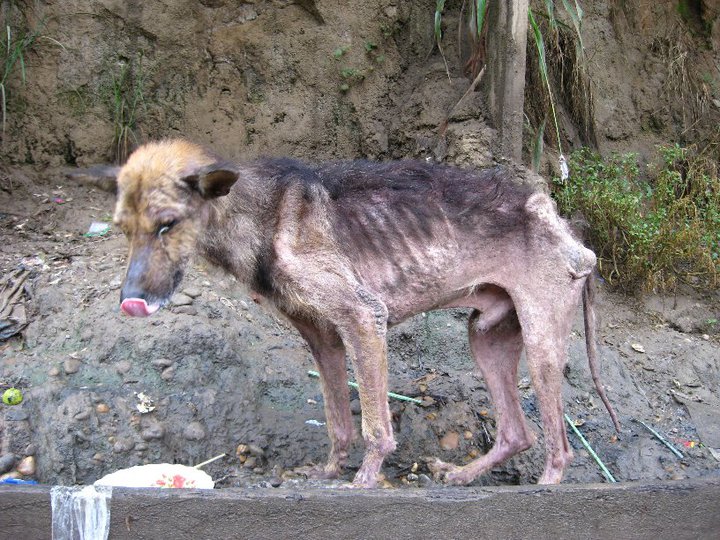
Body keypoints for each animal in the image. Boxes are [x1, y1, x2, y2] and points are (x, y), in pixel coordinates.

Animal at [111, 140, 620, 490]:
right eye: (123, 229)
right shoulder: (323, 338)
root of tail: (566, 226)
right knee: (518, 434)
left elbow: (375, 427)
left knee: (560, 449)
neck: (260, 213)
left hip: (541, 347)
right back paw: (461, 475)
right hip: (487, 340)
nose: (129, 299)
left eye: (168, 225)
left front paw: (365, 480)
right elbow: (338, 420)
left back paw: (544, 487)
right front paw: (328, 471)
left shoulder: (363, 317)